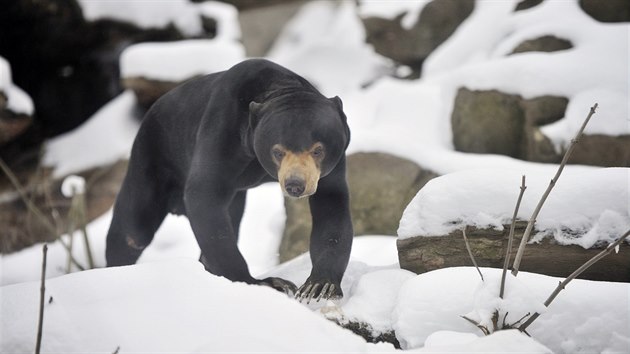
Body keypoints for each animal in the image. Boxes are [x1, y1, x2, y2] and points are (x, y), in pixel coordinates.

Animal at [108, 58, 356, 302]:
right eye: (277, 151)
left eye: (317, 150)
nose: (295, 185)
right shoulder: (223, 131)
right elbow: (203, 195)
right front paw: (264, 283)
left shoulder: (333, 165)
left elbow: (331, 208)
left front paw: (319, 286)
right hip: (152, 156)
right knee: (133, 229)